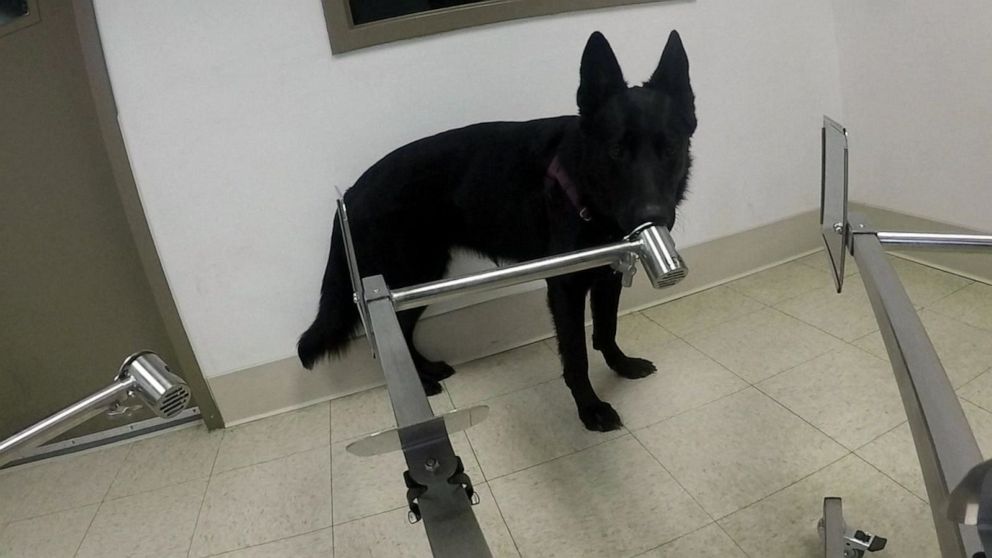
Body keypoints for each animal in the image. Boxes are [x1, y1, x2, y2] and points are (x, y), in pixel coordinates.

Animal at [298, 29, 692, 434]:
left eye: (670, 149)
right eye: (615, 151)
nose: (653, 216)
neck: (586, 191)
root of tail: (351, 194)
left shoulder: (607, 276)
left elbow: (607, 329)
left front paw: (621, 365)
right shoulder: (565, 287)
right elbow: (576, 356)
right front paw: (590, 408)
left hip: (417, 281)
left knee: (402, 330)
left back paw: (425, 373)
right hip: (407, 279)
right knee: (397, 331)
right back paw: (422, 381)